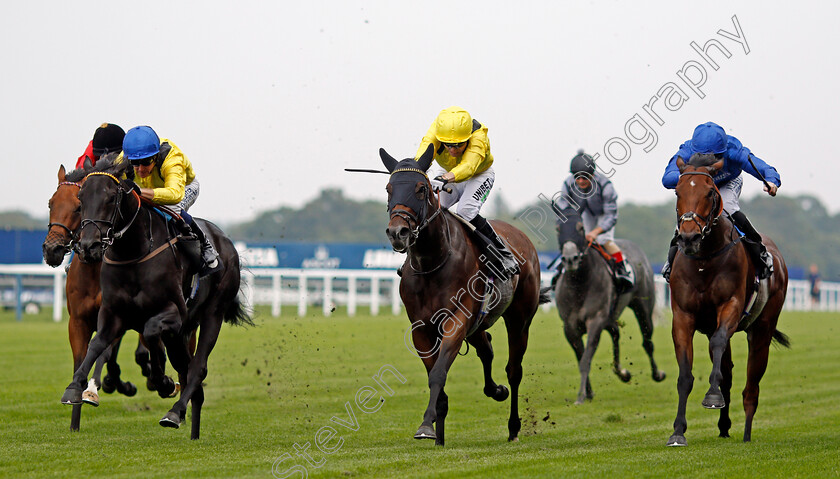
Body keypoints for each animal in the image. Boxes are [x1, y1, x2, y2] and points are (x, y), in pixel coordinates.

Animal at [43, 164, 141, 432]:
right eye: (50, 203)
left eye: (78, 206)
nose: (52, 249)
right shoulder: (77, 321)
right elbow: (81, 361)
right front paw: (74, 419)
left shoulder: (112, 317)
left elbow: (103, 352)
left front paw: (91, 391)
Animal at [59, 158, 251, 442]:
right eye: (81, 199)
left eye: (110, 197)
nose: (88, 246)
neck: (133, 253)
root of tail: (226, 242)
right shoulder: (111, 314)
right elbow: (96, 345)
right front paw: (75, 388)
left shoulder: (173, 314)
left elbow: (150, 333)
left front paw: (163, 382)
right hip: (185, 330)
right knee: (186, 366)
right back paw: (191, 425)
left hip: (212, 315)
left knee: (197, 367)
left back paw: (175, 412)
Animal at [380, 145, 552, 446]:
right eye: (389, 188)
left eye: (422, 189)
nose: (397, 232)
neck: (432, 261)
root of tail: (523, 239)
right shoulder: (421, 328)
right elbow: (435, 373)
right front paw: (437, 434)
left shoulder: (457, 320)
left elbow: (438, 374)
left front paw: (426, 426)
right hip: (478, 323)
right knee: (487, 348)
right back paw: (496, 391)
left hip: (519, 319)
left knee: (514, 369)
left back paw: (513, 426)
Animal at [556, 207, 668, 404]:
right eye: (557, 228)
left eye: (580, 227)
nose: (570, 259)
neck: (579, 285)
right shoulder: (569, 327)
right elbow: (580, 356)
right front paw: (588, 392)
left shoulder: (596, 320)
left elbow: (585, 359)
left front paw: (581, 396)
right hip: (611, 316)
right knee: (615, 332)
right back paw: (622, 372)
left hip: (642, 307)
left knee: (647, 342)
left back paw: (657, 374)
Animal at [668, 156, 792, 448]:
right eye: (678, 192)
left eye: (709, 193)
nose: (688, 238)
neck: (704, 260)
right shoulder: (683, 316)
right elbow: (685, 375)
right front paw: (678, 431)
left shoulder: (731, 307)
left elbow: (719, 344)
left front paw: (711, 397)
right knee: (728, 373)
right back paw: (724, 426)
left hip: (762, 330)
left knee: (751, 387)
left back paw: (746, 435)